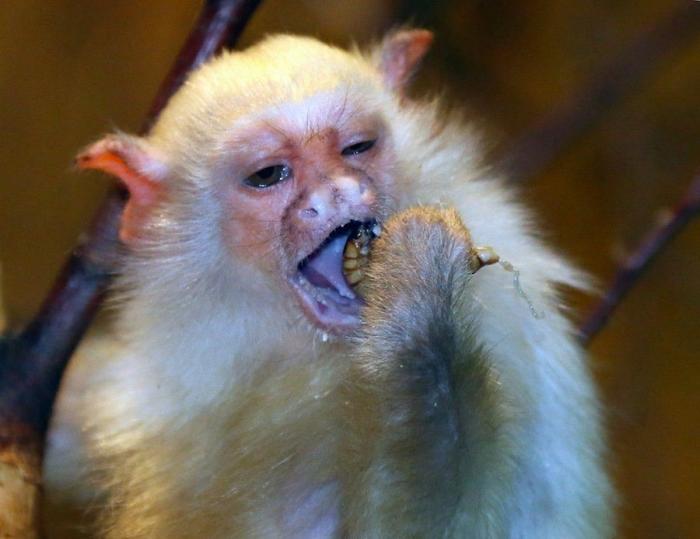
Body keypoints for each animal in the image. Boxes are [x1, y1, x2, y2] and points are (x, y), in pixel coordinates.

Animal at [42, 29, 614, 538]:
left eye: (357, 148)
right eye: (269, 175)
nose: (338, 192)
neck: (302, 349)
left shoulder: (509, 336)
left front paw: (420, 297)